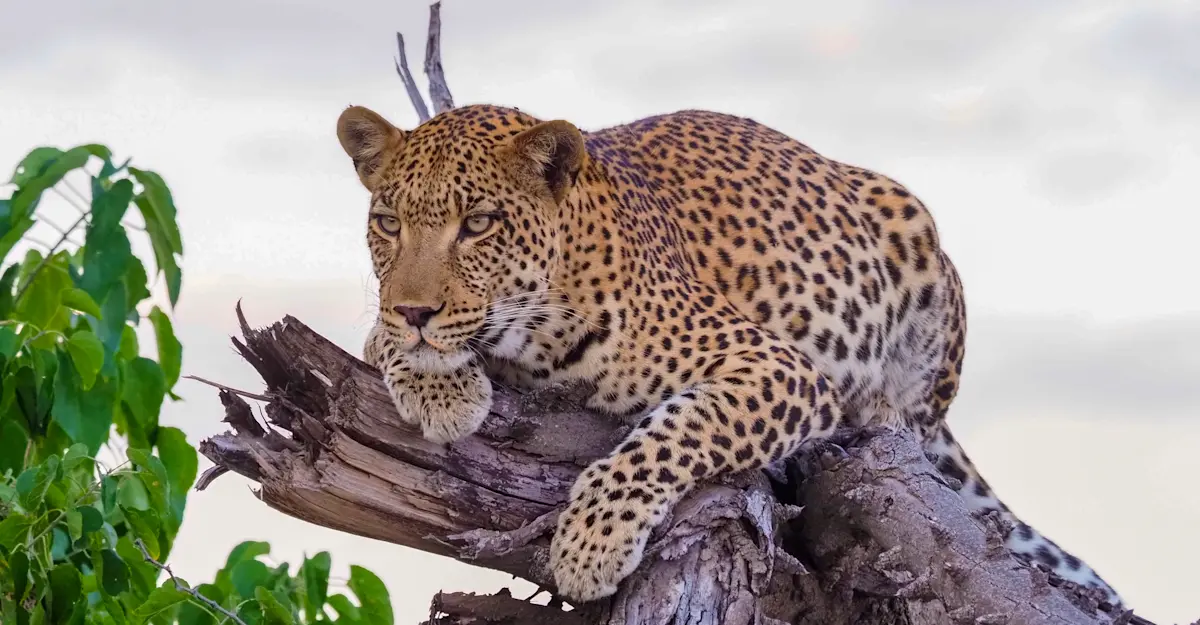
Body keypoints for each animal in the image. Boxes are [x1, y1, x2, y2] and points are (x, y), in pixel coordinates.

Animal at [336, 102, 1125, 607]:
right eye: (388, 222)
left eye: (479, 224)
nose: (415, 311)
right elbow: (384, 343)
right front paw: (441, 389)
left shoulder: (779, 368)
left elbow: (668, 437)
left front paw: (589, 545)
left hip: (915, 230)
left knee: (917, 419)